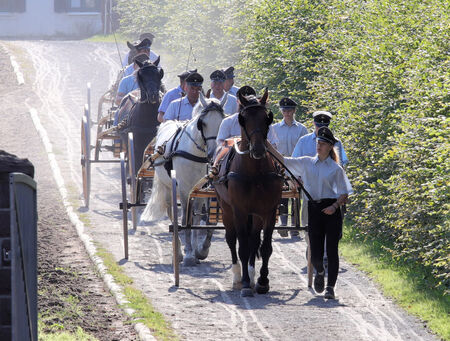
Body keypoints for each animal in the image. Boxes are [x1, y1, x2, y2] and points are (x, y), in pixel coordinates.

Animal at [141, 92, 227, 266]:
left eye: (222, 121)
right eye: (202, 123)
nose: (213, 153)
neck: (195, 152)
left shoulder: (199, 191)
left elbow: (196, 219)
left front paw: (198, 251)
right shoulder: (184, 189)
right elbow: (184, 220)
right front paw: (188, 254)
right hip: (169, 189)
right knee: (172, 214)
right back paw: (179, 253)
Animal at [214, 88, 284, 294]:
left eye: (266, 118)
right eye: (243, 119)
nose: (258, 149)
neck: (255, 173)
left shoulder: (269, 210)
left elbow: (265, 246)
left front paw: (262, 281)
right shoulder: (239, 210)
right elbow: (242, 246)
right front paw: (245, 282)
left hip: (256, 213)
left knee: (253, 239)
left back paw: (252, 276)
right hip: (226, 208)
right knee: (232, 239)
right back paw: (238, 277)